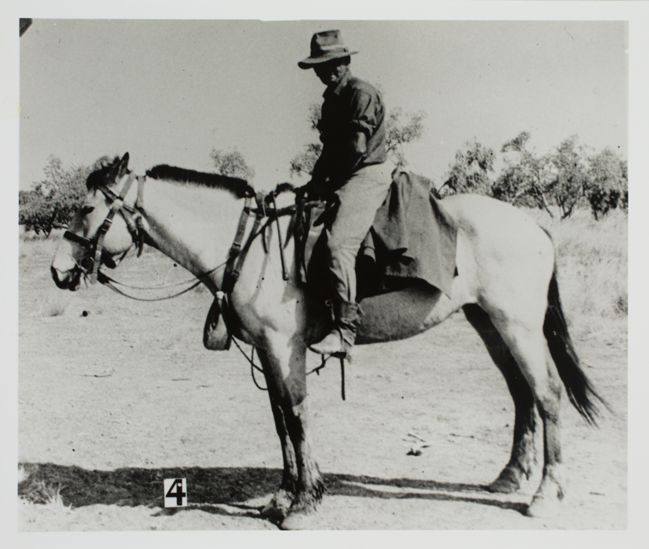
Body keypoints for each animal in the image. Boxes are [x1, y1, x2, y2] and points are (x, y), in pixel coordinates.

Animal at [49, 152, 604, 528]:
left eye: (85, 208)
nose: (57, 271)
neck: (247, 246)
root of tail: (532, 224)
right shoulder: (268, 352)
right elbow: (279, 420)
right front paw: (283, 495)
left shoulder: (283, 347)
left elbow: (296, 416)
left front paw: (305, 500)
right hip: (488, 322)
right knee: (521, 392)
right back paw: (511, 475)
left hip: (517, 324)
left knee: (547, 393)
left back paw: (545, 492)